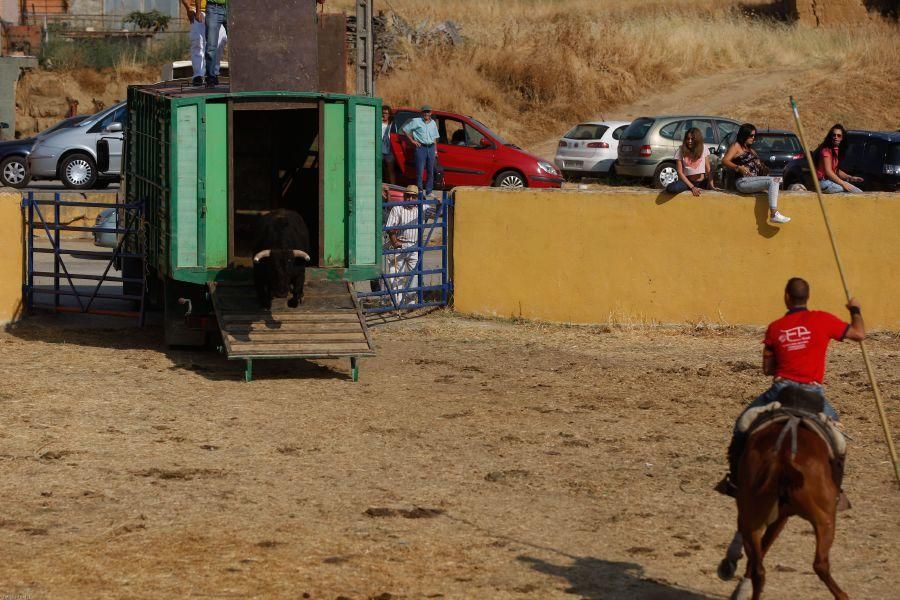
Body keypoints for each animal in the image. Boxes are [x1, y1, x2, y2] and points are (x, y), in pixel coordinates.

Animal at [728, 418, 848, 600]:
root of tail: (782, 458)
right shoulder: (782, 517)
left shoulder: (774, 517)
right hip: (825, 518)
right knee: (820, 563)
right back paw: (843, 595)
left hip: (751, 518)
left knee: (758, 569)